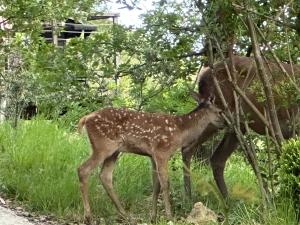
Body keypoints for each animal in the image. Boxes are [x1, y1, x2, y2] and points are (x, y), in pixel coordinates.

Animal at [77, 93, 225, 223]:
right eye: (220, 111)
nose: (225, 124)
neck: (180, 132)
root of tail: (85, 119)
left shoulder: (152, 156)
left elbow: (156, 186)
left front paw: (153, 217)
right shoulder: (162, 152)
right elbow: (165, 184)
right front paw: (169, 216)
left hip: (114, 151)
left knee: (105, 176)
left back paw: (125, 215)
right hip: (103, 146)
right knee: (83, 169)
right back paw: (88, 216)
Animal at [182, 55, 298, 198]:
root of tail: (202, 77)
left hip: (236, 124)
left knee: (216, 158)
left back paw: (227, 199)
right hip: (220, 114)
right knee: (188, 147)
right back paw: (188, 196)